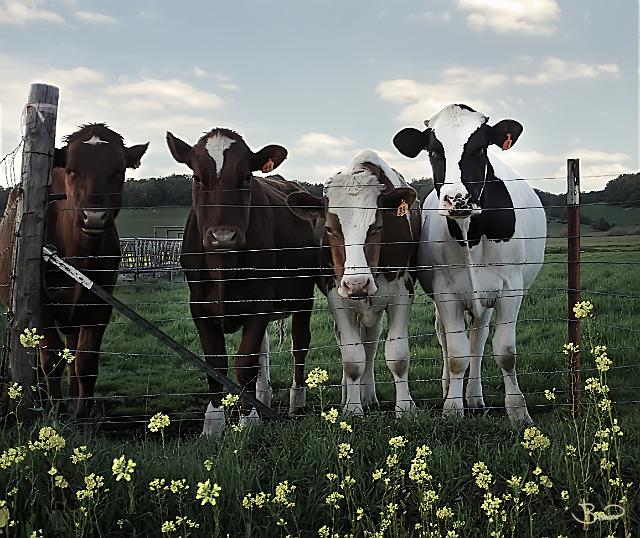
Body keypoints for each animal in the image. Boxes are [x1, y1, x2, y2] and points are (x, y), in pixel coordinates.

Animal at [0, 123, 149, 416]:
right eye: (72, 171)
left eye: (119, 171)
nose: (94, 217)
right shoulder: (40, 307)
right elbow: (50, 359)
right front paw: (55, 411)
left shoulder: (99, 305)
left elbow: (85, 362)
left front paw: (82, 414)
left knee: (72, 352)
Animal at [165, 127, 320, 434]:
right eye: (197, 177)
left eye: (247, 176)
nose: (223, 236)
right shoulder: (199, 306)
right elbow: (216, 364)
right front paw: (213, 425)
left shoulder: (260, 302)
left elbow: (245, 363)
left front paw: (249, 420)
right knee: (263, 351)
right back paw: (264, 397)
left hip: (303, 295)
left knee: (299, 344)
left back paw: (296, 403)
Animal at [396, 104, 544, 420]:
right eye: (434, 151)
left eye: (480, 149)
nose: (457, 199)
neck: (470, 237)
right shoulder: (446, 293)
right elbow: (456, 354)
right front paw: (452, 408)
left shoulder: (511, 289)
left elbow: (505, 352)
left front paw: (517, 411)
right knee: (449, 339)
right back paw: (450, 390)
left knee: (479, 337)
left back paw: (474, 396)